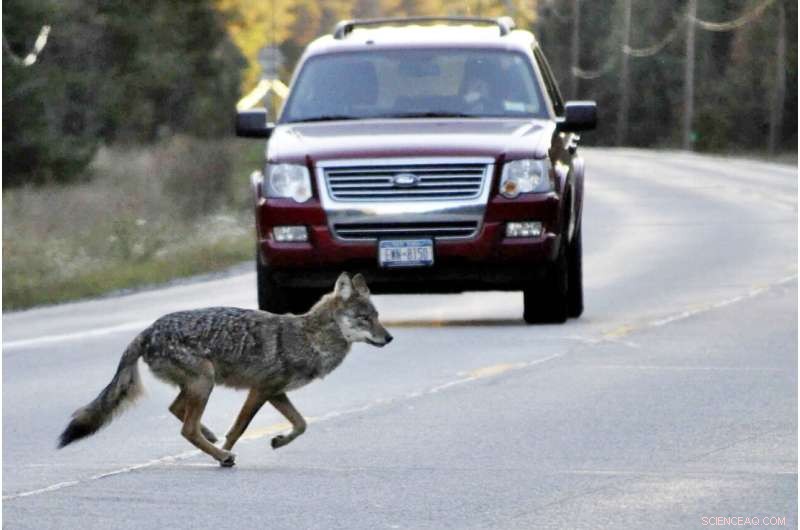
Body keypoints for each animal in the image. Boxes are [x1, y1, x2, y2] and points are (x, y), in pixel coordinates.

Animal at [57, 272, 392, 467]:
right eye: (364, 319)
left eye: (377, 316)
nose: (389, 338)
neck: (309, 338)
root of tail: (149, 330)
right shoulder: (261, 390)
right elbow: (239, 428)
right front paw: (229, 451)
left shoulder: (276, 392)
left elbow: (301, 424)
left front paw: (278, 441)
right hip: (204, 383)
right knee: (187, 428)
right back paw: (221, 454)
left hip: (200, 385)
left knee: (177, 411)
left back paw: (210, 437)